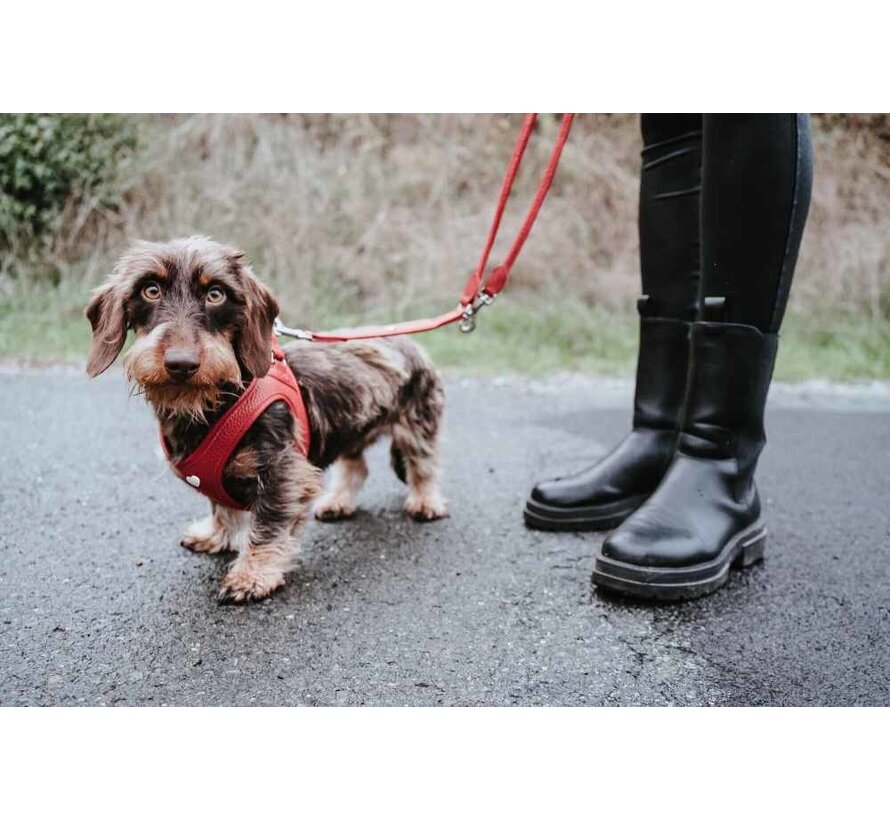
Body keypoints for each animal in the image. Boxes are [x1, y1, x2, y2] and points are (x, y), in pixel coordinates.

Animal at [86, 235, 448, 604]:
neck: (213, 402)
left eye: (215, 294)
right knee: (356, 467)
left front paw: (251, 575)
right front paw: (216, 534)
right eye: (150, 290)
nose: (181, 363)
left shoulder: (283, 474)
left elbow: (267, 527)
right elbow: (221, 506)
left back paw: (425, 502)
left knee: (423, 466)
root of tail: (410, 342)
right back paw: (338, 501)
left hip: (417, 427)